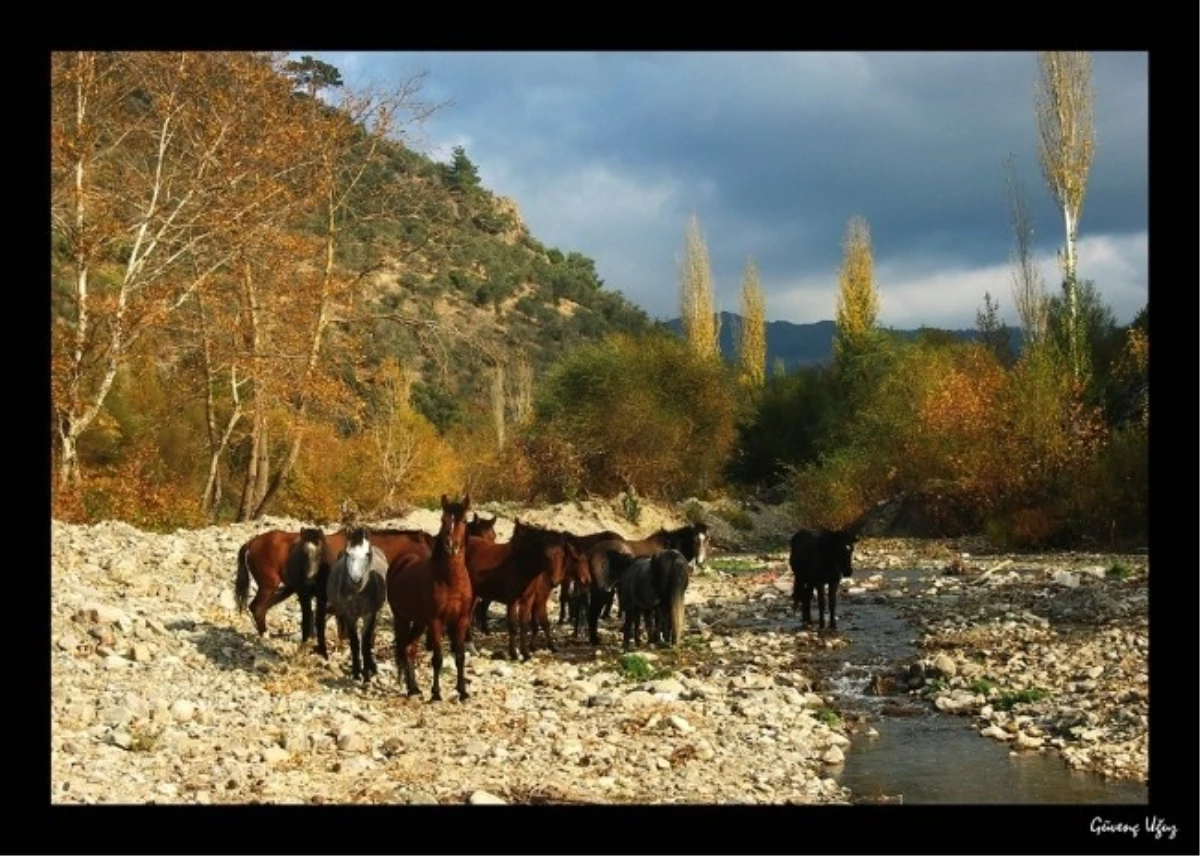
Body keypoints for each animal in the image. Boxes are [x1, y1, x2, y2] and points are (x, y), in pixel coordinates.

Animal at [386, 494, 475, 701]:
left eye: (464, 521)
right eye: (443, 520)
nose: (451, 546)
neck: (450, 581)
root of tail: (401, 560)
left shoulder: (461, 620)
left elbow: (460, 656)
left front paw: (463, 691)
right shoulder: (435, 622)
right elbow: (438, 658)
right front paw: (436, 694)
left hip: (419, 622)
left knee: (409, 649)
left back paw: (414, 688)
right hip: (401, 618)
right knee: (404, 648)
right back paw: (412, 689)